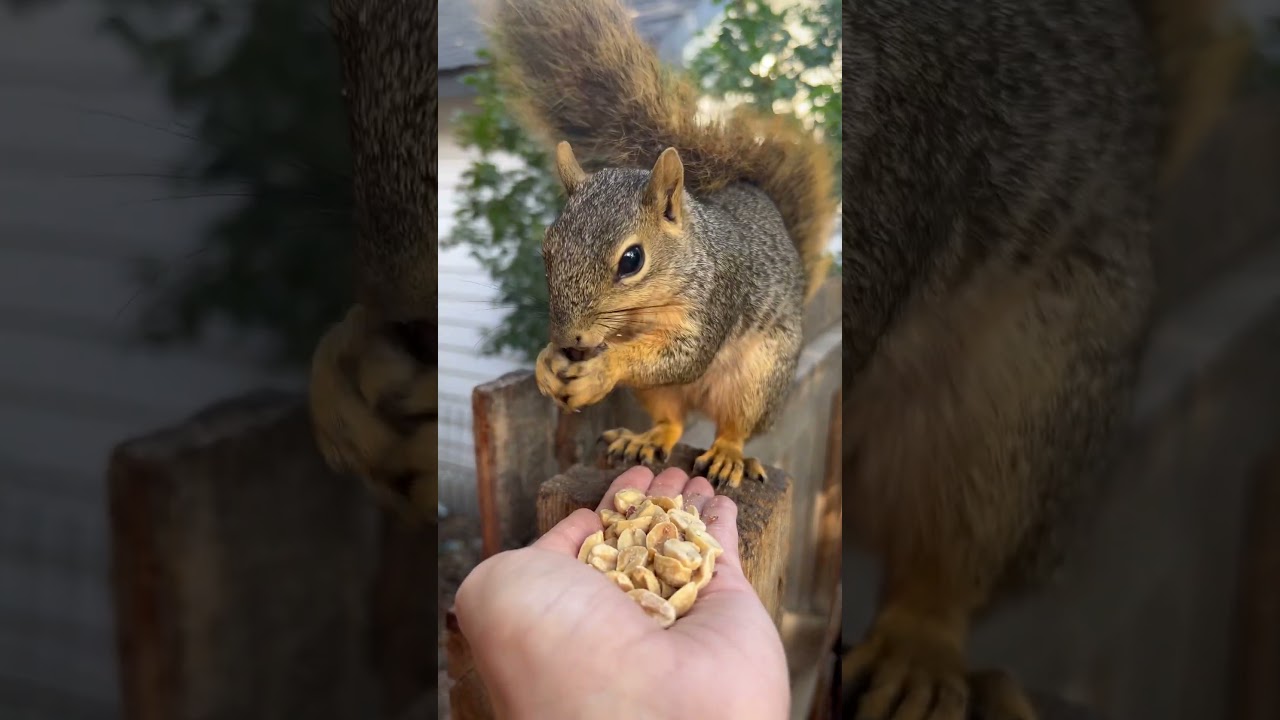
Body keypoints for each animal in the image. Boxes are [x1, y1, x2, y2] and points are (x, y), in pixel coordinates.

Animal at [487, 0, 838, 488]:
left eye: (632, 260)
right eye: (547, 252)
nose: (569, 339)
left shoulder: (714, 301)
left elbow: (685, 355)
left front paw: (601, 368)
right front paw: (546, 362)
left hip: (760, 379)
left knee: (736, 426)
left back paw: (727, 454)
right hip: (656, 394)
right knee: (671, 420)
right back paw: (646, 439)